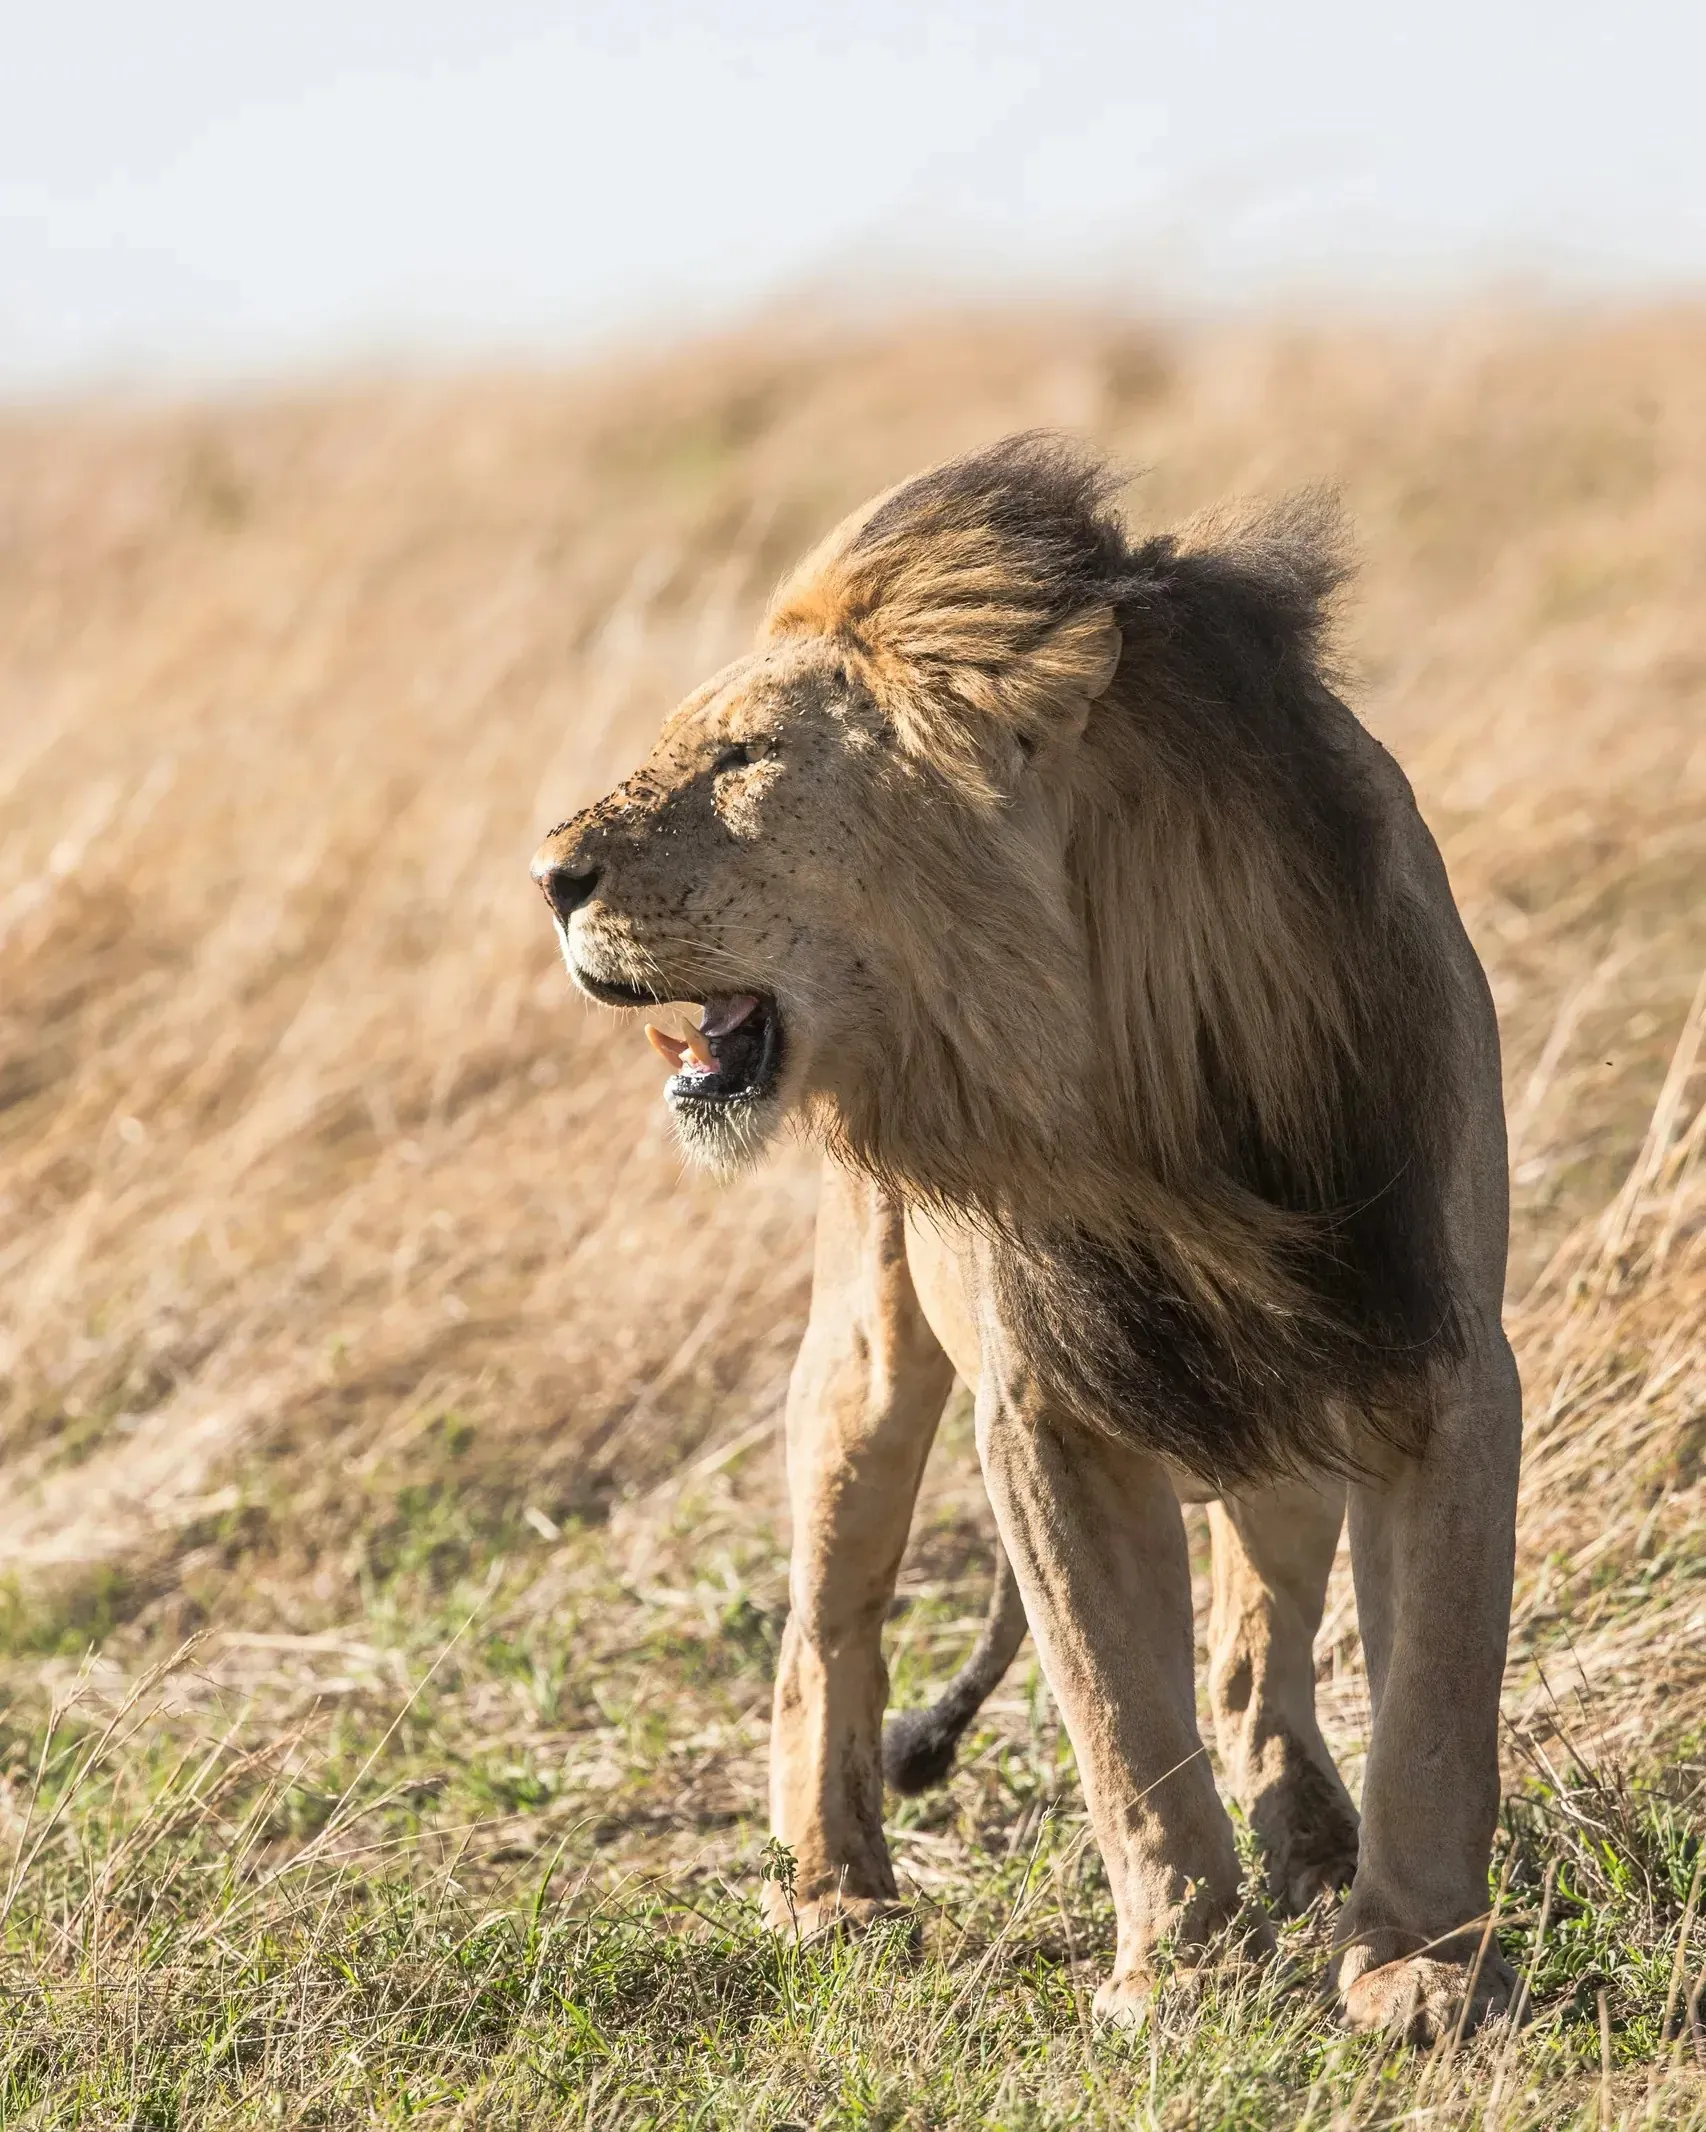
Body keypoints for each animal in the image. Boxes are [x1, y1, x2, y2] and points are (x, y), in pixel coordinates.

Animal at [531, 436, 1522, 2041]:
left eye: (745, 758)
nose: (544, 877)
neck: (1133, 1073)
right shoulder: (1045, 1408)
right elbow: (1120, 1714)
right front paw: (1179, 1974)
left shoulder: (1426, 1354)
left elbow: (1434, 1696)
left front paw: (1418, 1967)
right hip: (866, 1357)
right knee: (825, 1628)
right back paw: (835, 1893)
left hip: (1283, 1411)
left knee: (1252, 1649)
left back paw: (1312, 1839)